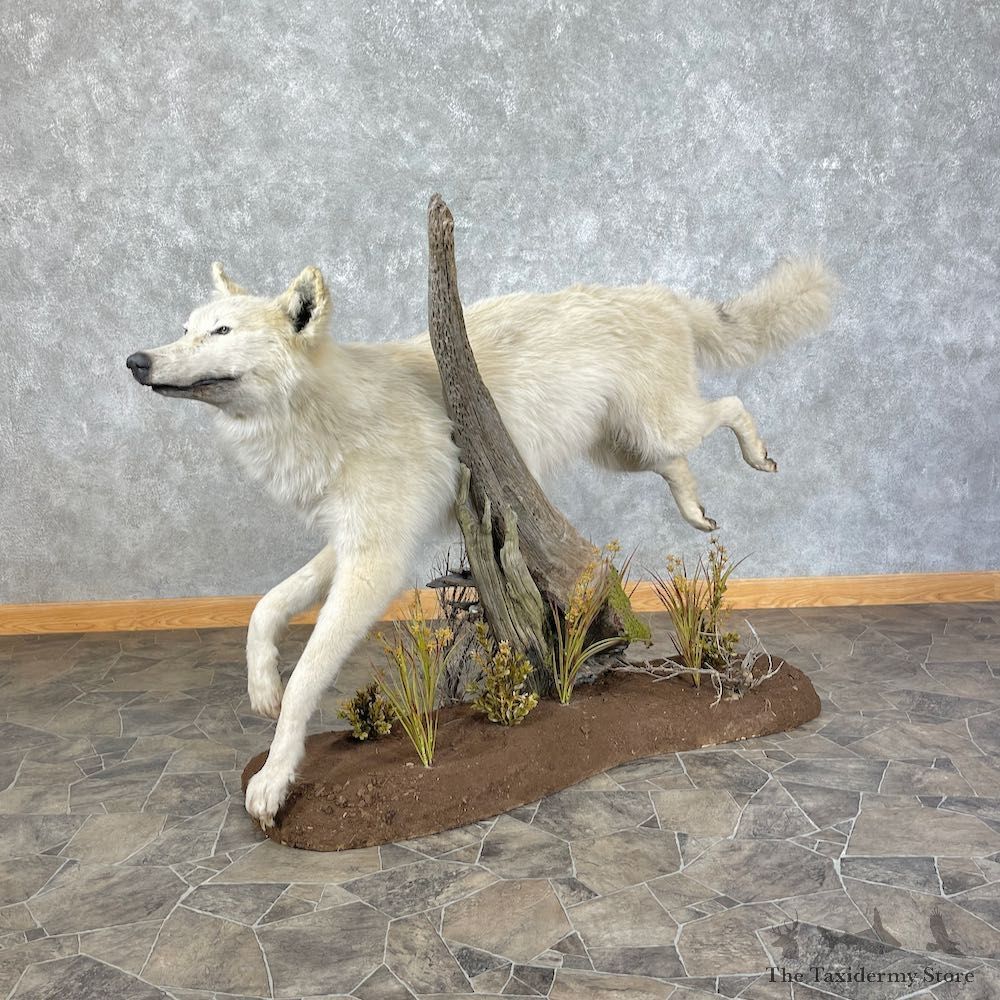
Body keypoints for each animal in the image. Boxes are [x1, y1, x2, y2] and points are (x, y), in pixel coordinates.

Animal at [127, 254, 833, 825]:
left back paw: (759, 458)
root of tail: (654, 292)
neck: (328, 413)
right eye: (186, 328)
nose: (136, 360)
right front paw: (261, 688)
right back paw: (697, 514)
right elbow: (264, 607)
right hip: (626, 449)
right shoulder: (352, 545)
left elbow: (309, 675)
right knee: (680, 463)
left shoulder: (376, 563)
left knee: (730, 406)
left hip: (657, 427)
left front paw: (274, 778)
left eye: (221, 332)